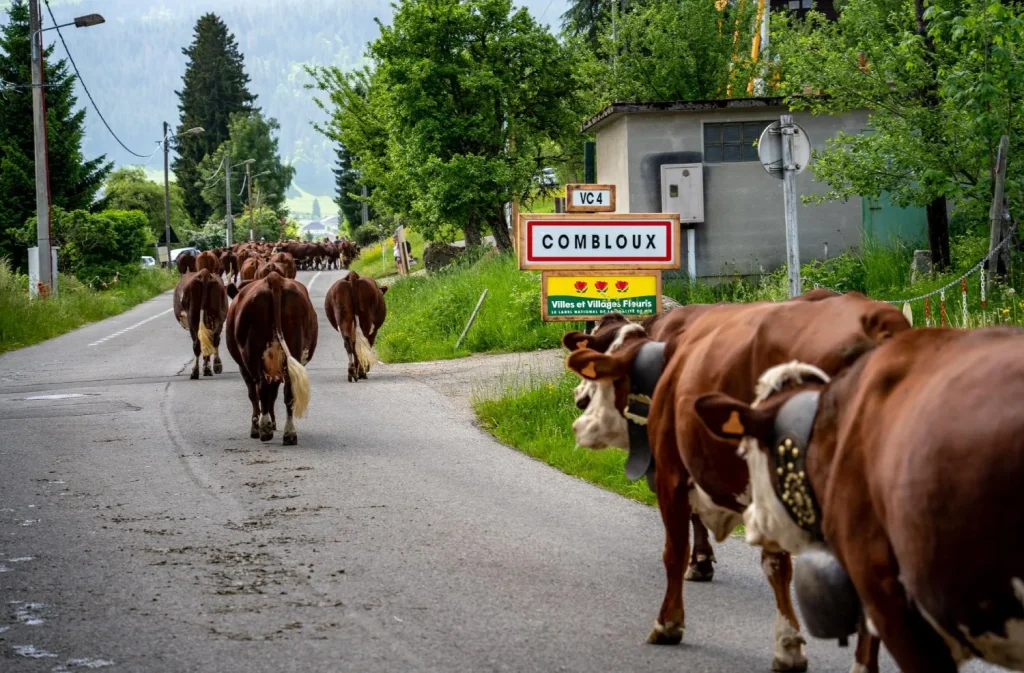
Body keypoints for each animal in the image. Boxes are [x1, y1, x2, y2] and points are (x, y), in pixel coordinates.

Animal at [226, 270, 317, 444]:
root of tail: (273, 278)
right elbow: (273, 394)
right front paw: (273, 422)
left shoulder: (244, 368)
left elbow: (254, 394)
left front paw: (257, 426)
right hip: (293, 347)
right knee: (288, 391)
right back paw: (289, 434)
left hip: (252, 351)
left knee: (260, 388)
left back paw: (265, 429)